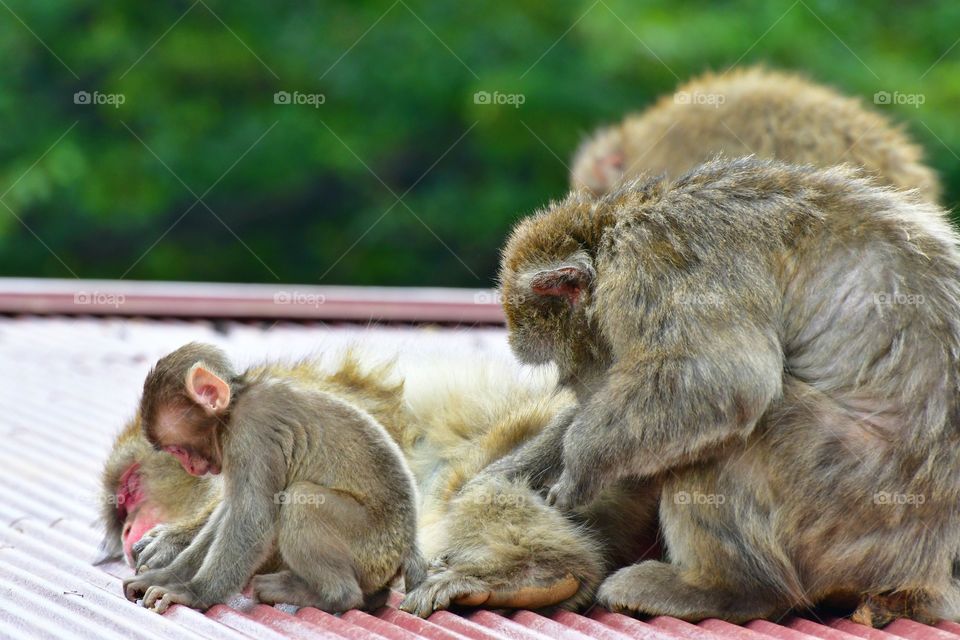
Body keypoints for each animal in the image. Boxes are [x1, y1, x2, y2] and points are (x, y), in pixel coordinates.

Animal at [121, 343, 425, 614]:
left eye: (178, 449)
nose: (192, 468)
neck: (234, 407)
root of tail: (406, 546)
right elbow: (230, 512)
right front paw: (168, 576)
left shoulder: (251, 433)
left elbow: (252, 519)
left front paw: (194, 592)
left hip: (372, 548)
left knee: (301, 500)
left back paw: (332, 596)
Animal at [495, 155, 960, 624]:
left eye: (558, 363)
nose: (575, 382)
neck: (617, 228)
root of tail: (927, 572)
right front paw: (511, 474)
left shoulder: (658, 262)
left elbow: (722, 378)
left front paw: (580, 465)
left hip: (853, 509)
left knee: (732, 436)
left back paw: (730, 590)